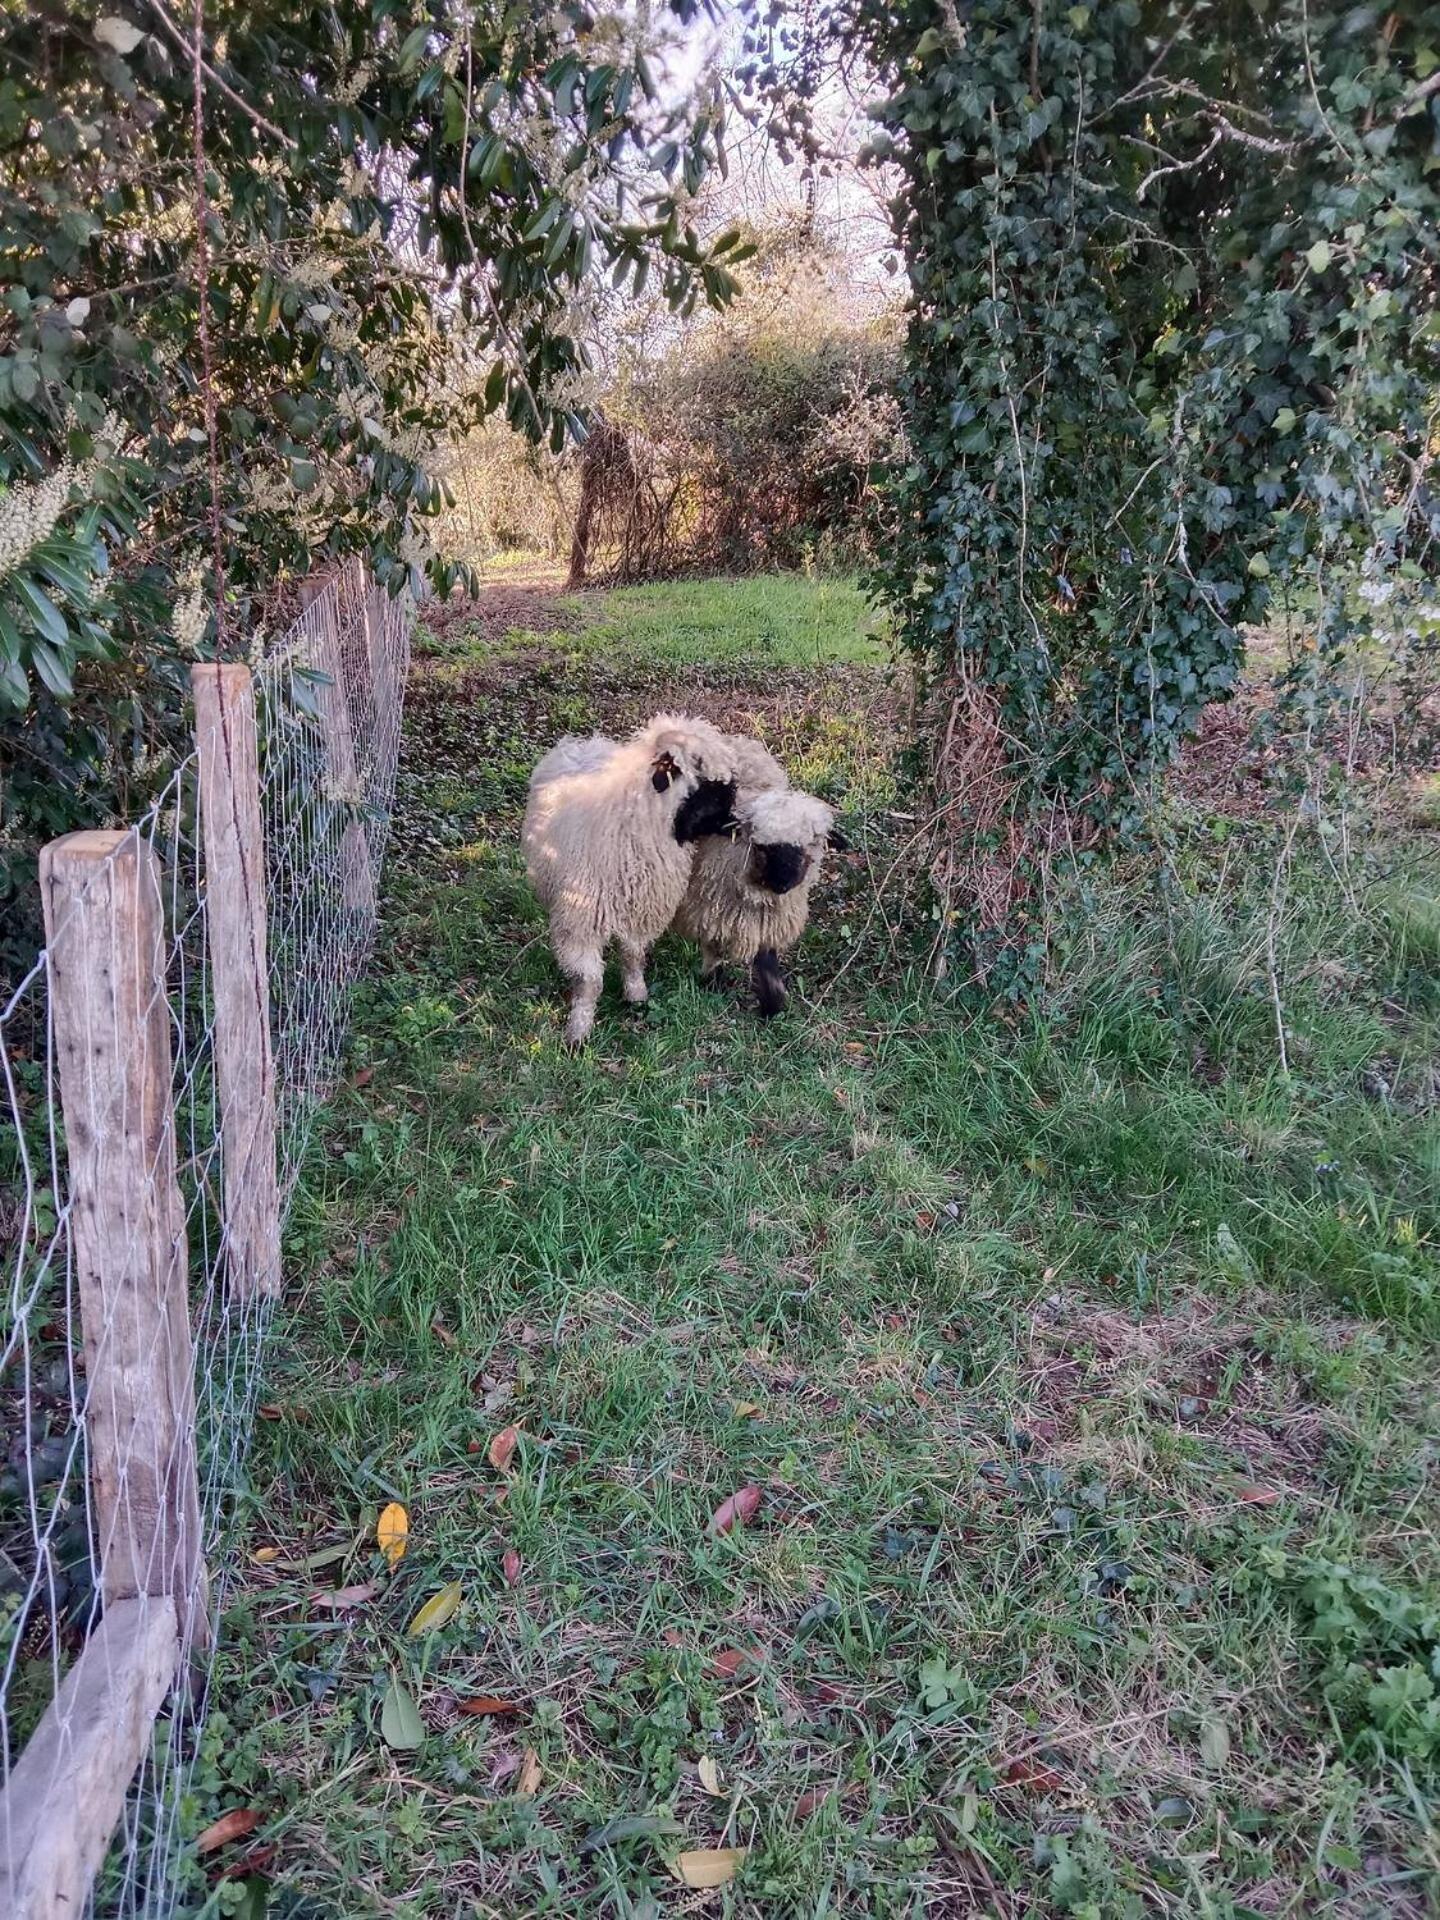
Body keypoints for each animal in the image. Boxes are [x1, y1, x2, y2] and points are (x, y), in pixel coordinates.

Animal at [522, 714, 744, 1044]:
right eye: (711, 787)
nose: (740, 824)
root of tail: (584, 741)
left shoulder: (640, 910)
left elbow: (633, 956)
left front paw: (636, 996)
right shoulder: (581, 921)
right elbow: (589, 980)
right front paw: (579, 1031)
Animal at [675, 779, 840, 1021]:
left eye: (808, 846)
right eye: (762, 847)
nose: (782, 884)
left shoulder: (766, 919)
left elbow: (766, 961)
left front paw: (772, 1006)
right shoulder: (709, 906)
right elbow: (713, 949)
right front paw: (712, 983)